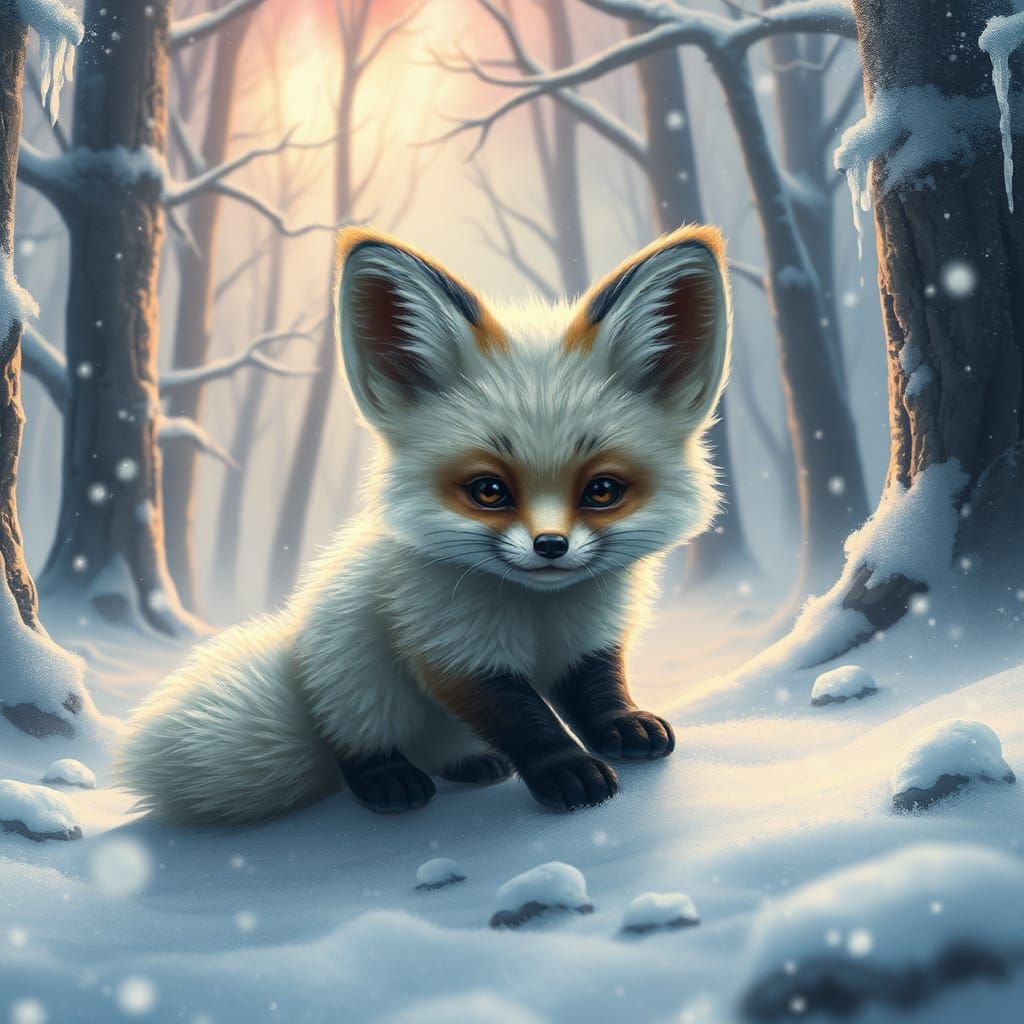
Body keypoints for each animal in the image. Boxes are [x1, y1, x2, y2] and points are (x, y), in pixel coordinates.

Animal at [117, 223, 732, 825]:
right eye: (489, 490)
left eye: (602, 490)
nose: (550, 545)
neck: (542, 613)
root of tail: (299, 673)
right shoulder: (451, 649)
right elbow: (524, 718)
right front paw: (566, 769)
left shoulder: (591, 638)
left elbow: (598, 691)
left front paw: (621, 726)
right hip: (360, 683)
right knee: (350, 745)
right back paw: (389, 779)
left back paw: (472, 763)